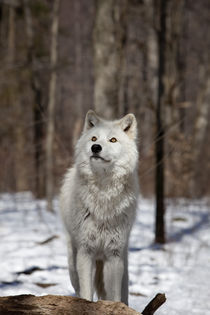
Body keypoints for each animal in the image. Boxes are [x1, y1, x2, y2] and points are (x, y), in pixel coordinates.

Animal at [60, 111, 139, 306]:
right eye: (94, 138)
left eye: (113, 140)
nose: (95, 147)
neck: (103, 195)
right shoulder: (86, 252)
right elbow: (87, 293)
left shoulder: (114, 256)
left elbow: (114, 296)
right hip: (73, 265)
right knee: (78, 288)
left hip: (124, 264)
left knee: (124, 294)